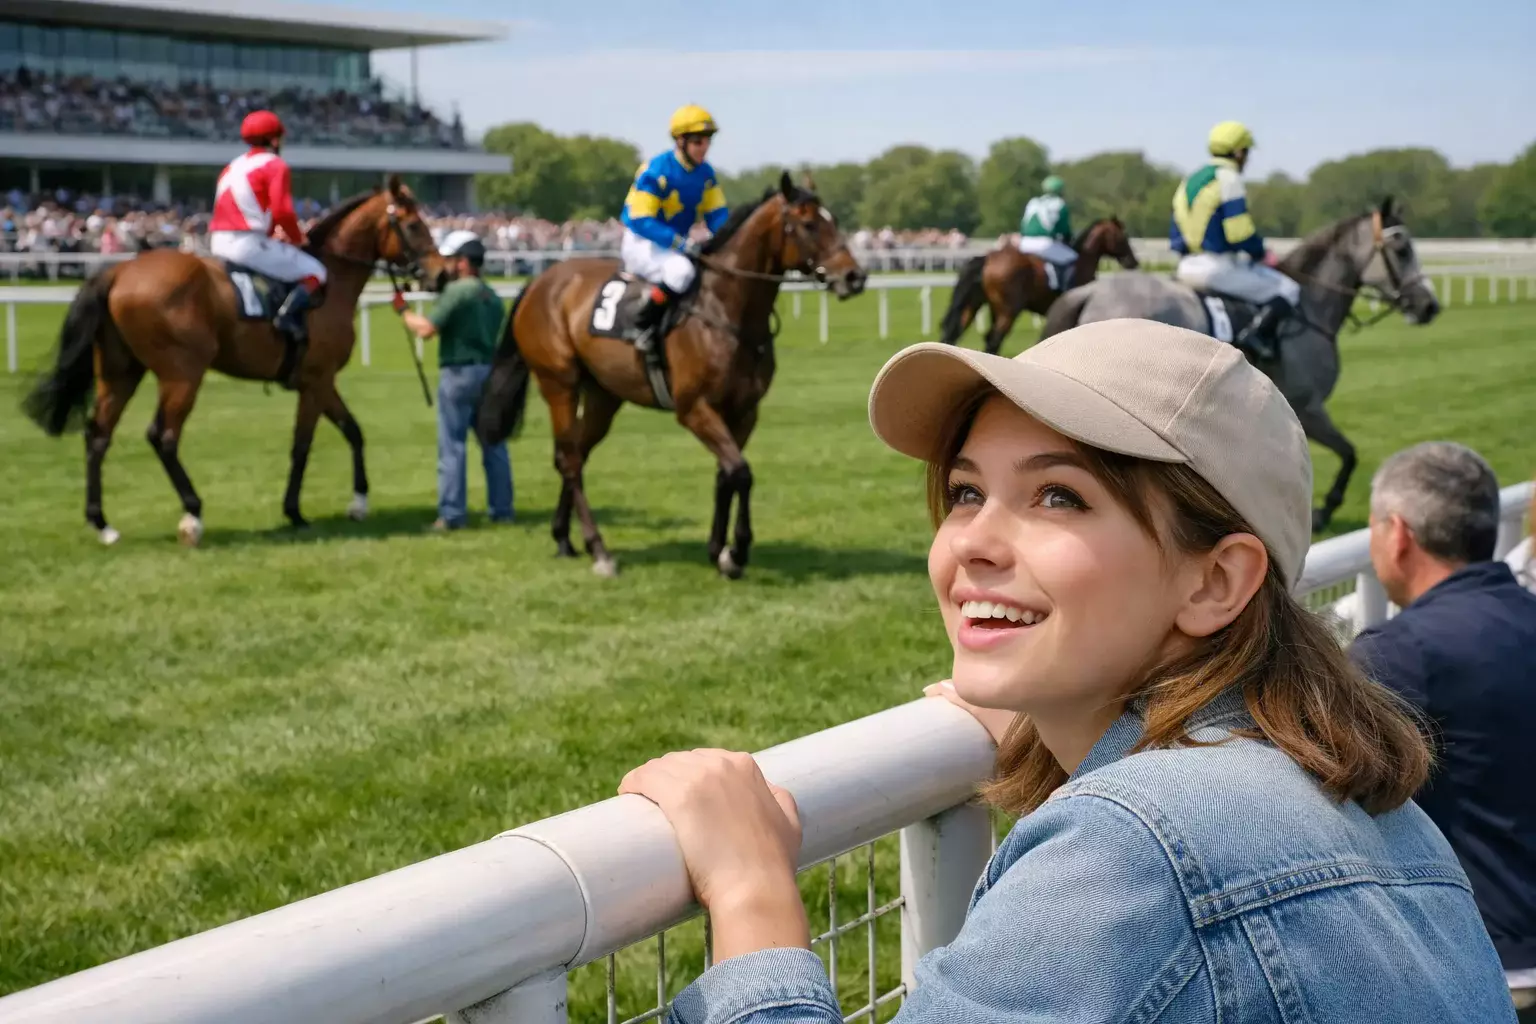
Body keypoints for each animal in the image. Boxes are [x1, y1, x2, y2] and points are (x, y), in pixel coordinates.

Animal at [22, 175, 447, 546]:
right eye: (413, 225)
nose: (441, 275)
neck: (331, 282)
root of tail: (121, 270)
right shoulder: (317, 380)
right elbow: (312, 443)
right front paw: (309, 509)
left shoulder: (318, 382)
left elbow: (344, 433)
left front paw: (344, 504)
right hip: (182, 375)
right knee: (163, 436)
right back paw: (192, 514)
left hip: (120, 373)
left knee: (98, 435)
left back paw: (102, 524)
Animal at [475, 171, 867, 579]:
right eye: (808, 225)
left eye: (834, 220)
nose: (855, 276)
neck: (725, 313)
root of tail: (541, 282)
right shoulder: (694, 409)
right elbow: (741, 472)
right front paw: (736, 552)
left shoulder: (744, 411)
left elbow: (726, 474)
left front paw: (718, 550)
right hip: (559, 384)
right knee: (568, 459)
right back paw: (599, 551)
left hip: (603, 395)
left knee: (576, 455)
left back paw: (564, 538)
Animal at [939, 217, 1139, 354]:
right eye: (1122, 236)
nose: (1133, 262)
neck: (1082, 260)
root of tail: (987, 258)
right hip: (1008, 311)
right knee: (994, 339)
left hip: (974, 306)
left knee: (955, 332)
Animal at [1041, 197, 1439, 533]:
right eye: (1402, 249)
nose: (1429, 306)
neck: (1309, 309)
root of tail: (1092, 291)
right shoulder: (1308, 410)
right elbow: (1349, 454)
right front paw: (1324, 509)